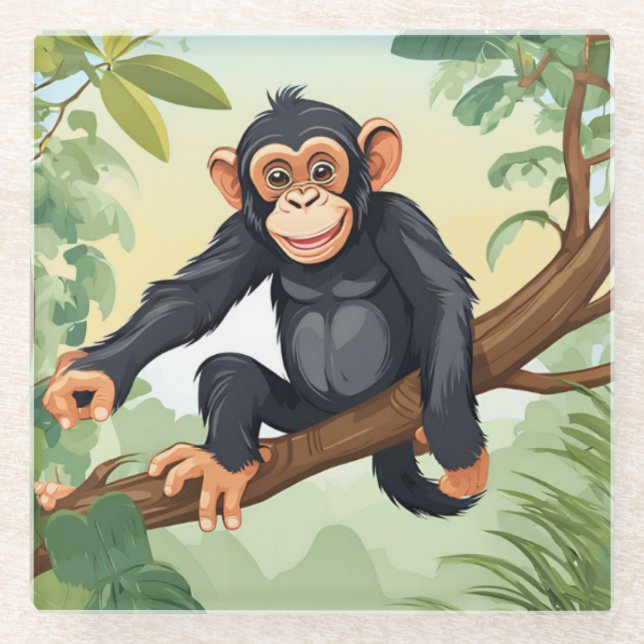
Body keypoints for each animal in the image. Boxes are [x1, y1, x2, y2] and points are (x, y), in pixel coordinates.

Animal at [39, 86, 488, 532]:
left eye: (322, 170)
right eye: (277, 178)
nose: (303, 198)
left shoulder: (402, 219)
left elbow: (440, 301)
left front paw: (457, 447)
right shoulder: (242, 233)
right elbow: (192, 300)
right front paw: (98, 374)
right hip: (304, 414)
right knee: (230, 371)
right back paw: (224, 463)